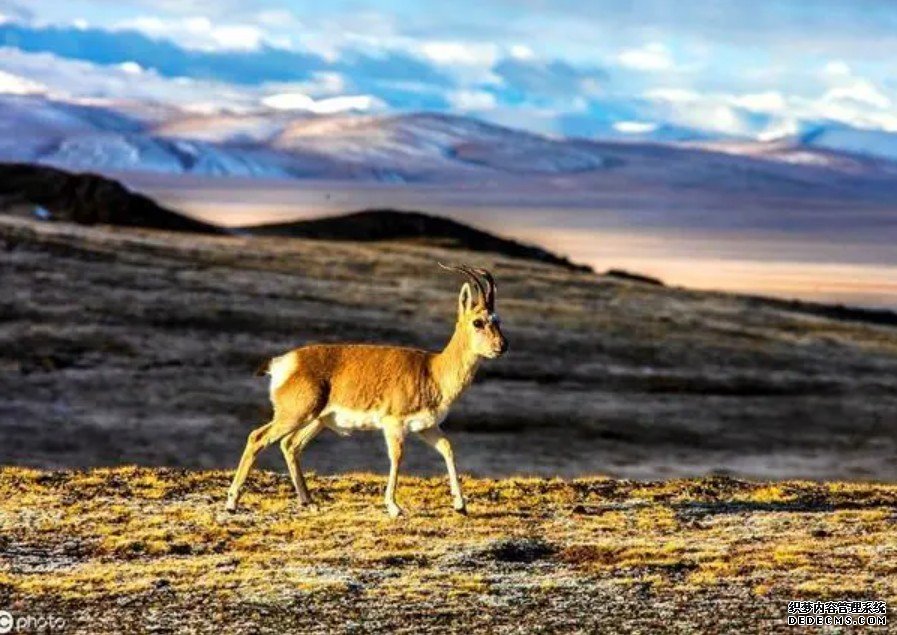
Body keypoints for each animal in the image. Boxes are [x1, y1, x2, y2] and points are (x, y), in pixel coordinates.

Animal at [224, 264, 508, 516]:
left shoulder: (426, 427)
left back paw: (308, 501)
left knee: (290, 445)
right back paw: (232, 503)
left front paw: (460, 505)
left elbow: (448, 448)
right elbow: (397, 457)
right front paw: (394, 507)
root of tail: (284, 361)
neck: (432, 370)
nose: (502, 346)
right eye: (478, 322)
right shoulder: (394, 424)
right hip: (295, 415)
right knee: (257, 437)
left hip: (317, 421)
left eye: (498, 320)